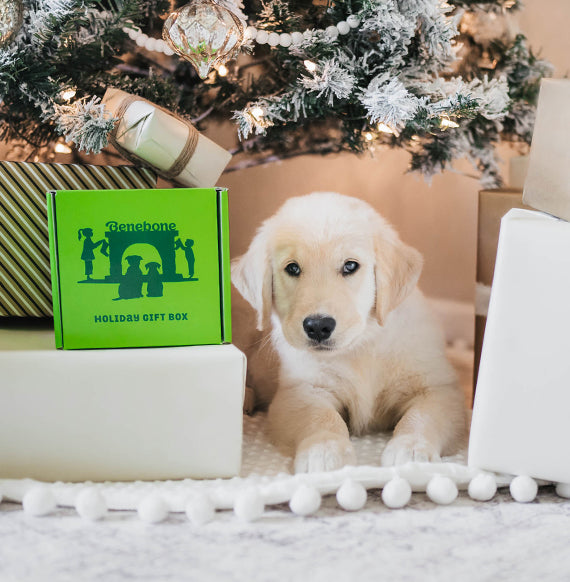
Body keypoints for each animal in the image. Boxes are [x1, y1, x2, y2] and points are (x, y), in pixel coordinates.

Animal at [231, 194, 466, 476]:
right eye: (293, 268)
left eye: (350, 266)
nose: (318, 326)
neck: (361, 346)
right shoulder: (301, 390)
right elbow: (321, 417)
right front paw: (324, 450)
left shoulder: (439, 388)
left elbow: (423, 416)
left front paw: (412, 449)